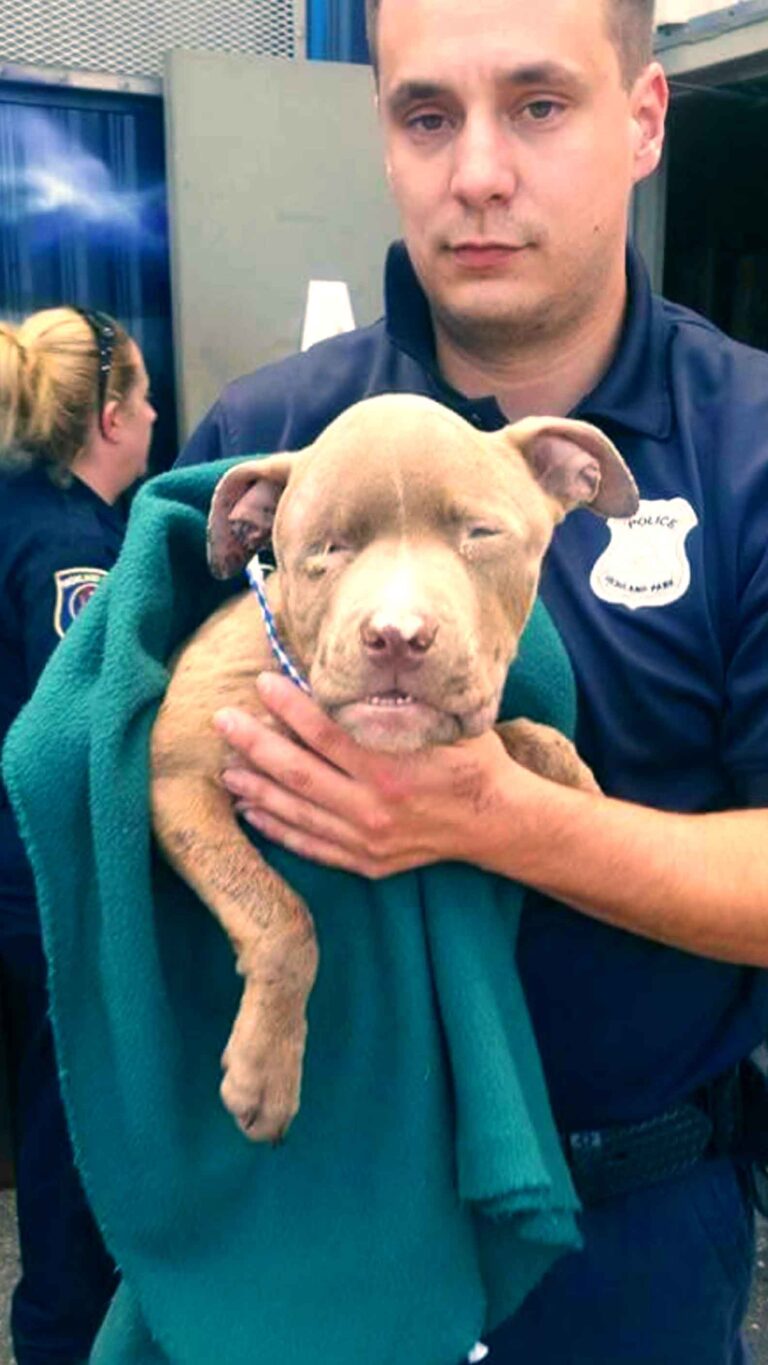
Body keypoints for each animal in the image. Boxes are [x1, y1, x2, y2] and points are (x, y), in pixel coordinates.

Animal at [150, 393, 638, 1141]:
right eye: (327, 549)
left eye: (480, 534)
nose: (397, 635)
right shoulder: (177, 777)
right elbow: (283, 914)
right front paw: (266, 1071)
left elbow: (529, 734)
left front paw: (581, 791)